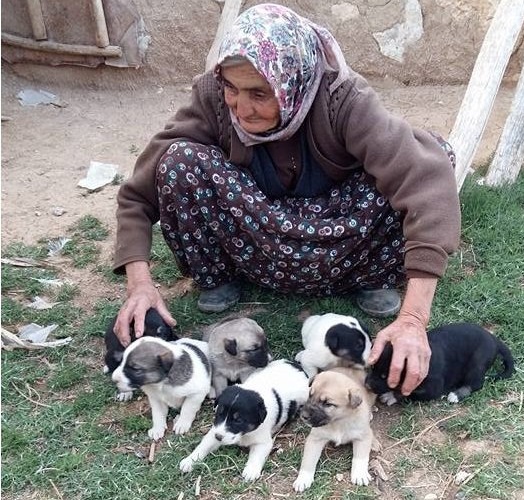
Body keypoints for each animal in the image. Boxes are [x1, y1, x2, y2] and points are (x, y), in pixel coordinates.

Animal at [180, 360, 312, 480]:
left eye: (238, 421)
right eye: (219, 414)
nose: (218, 437)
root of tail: (297, 366)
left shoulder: (263, 442)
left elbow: (256, 456)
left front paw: (251, 471)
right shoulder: (215, 431)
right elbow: (203, 446)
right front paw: (189, 460)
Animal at [364, 322, 516, 404]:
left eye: (385, 376)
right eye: (373, 367)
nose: (367, 385)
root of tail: (493, 338)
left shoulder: (431, 388)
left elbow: (408, 392)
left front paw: (391, 395)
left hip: (477, 363)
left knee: (476, 383)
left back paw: (456, 395)